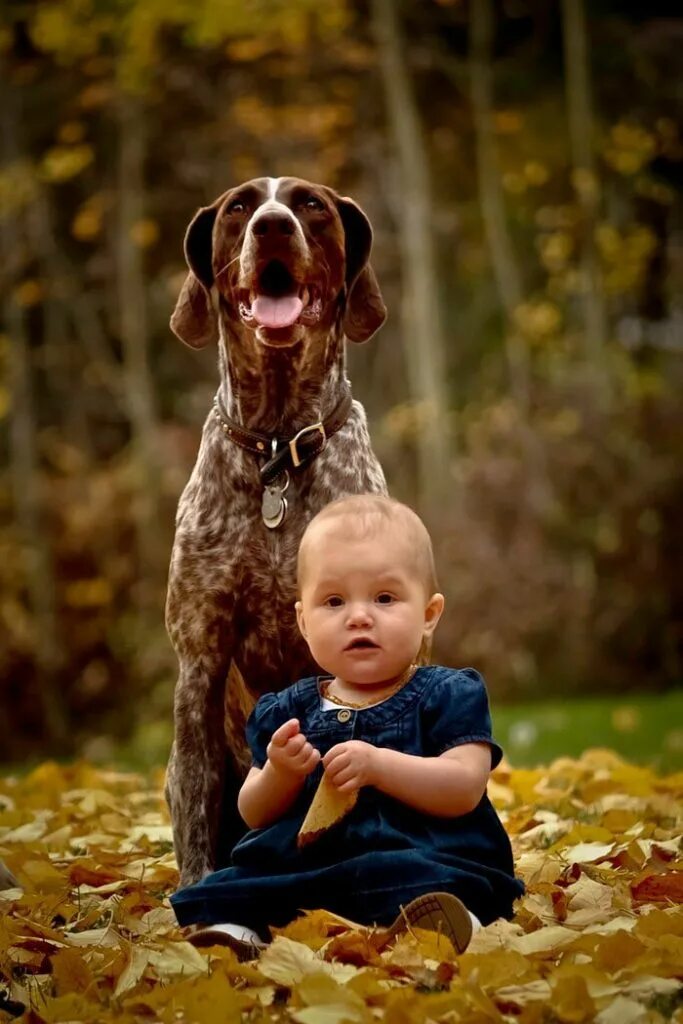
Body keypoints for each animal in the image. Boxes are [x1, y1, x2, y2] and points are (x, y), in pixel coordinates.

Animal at [165, 178, 387, 888]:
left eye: (310, 204)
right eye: (239, 207)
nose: (271, 225)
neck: (276, 451)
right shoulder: (200, 657)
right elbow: (200, 793)